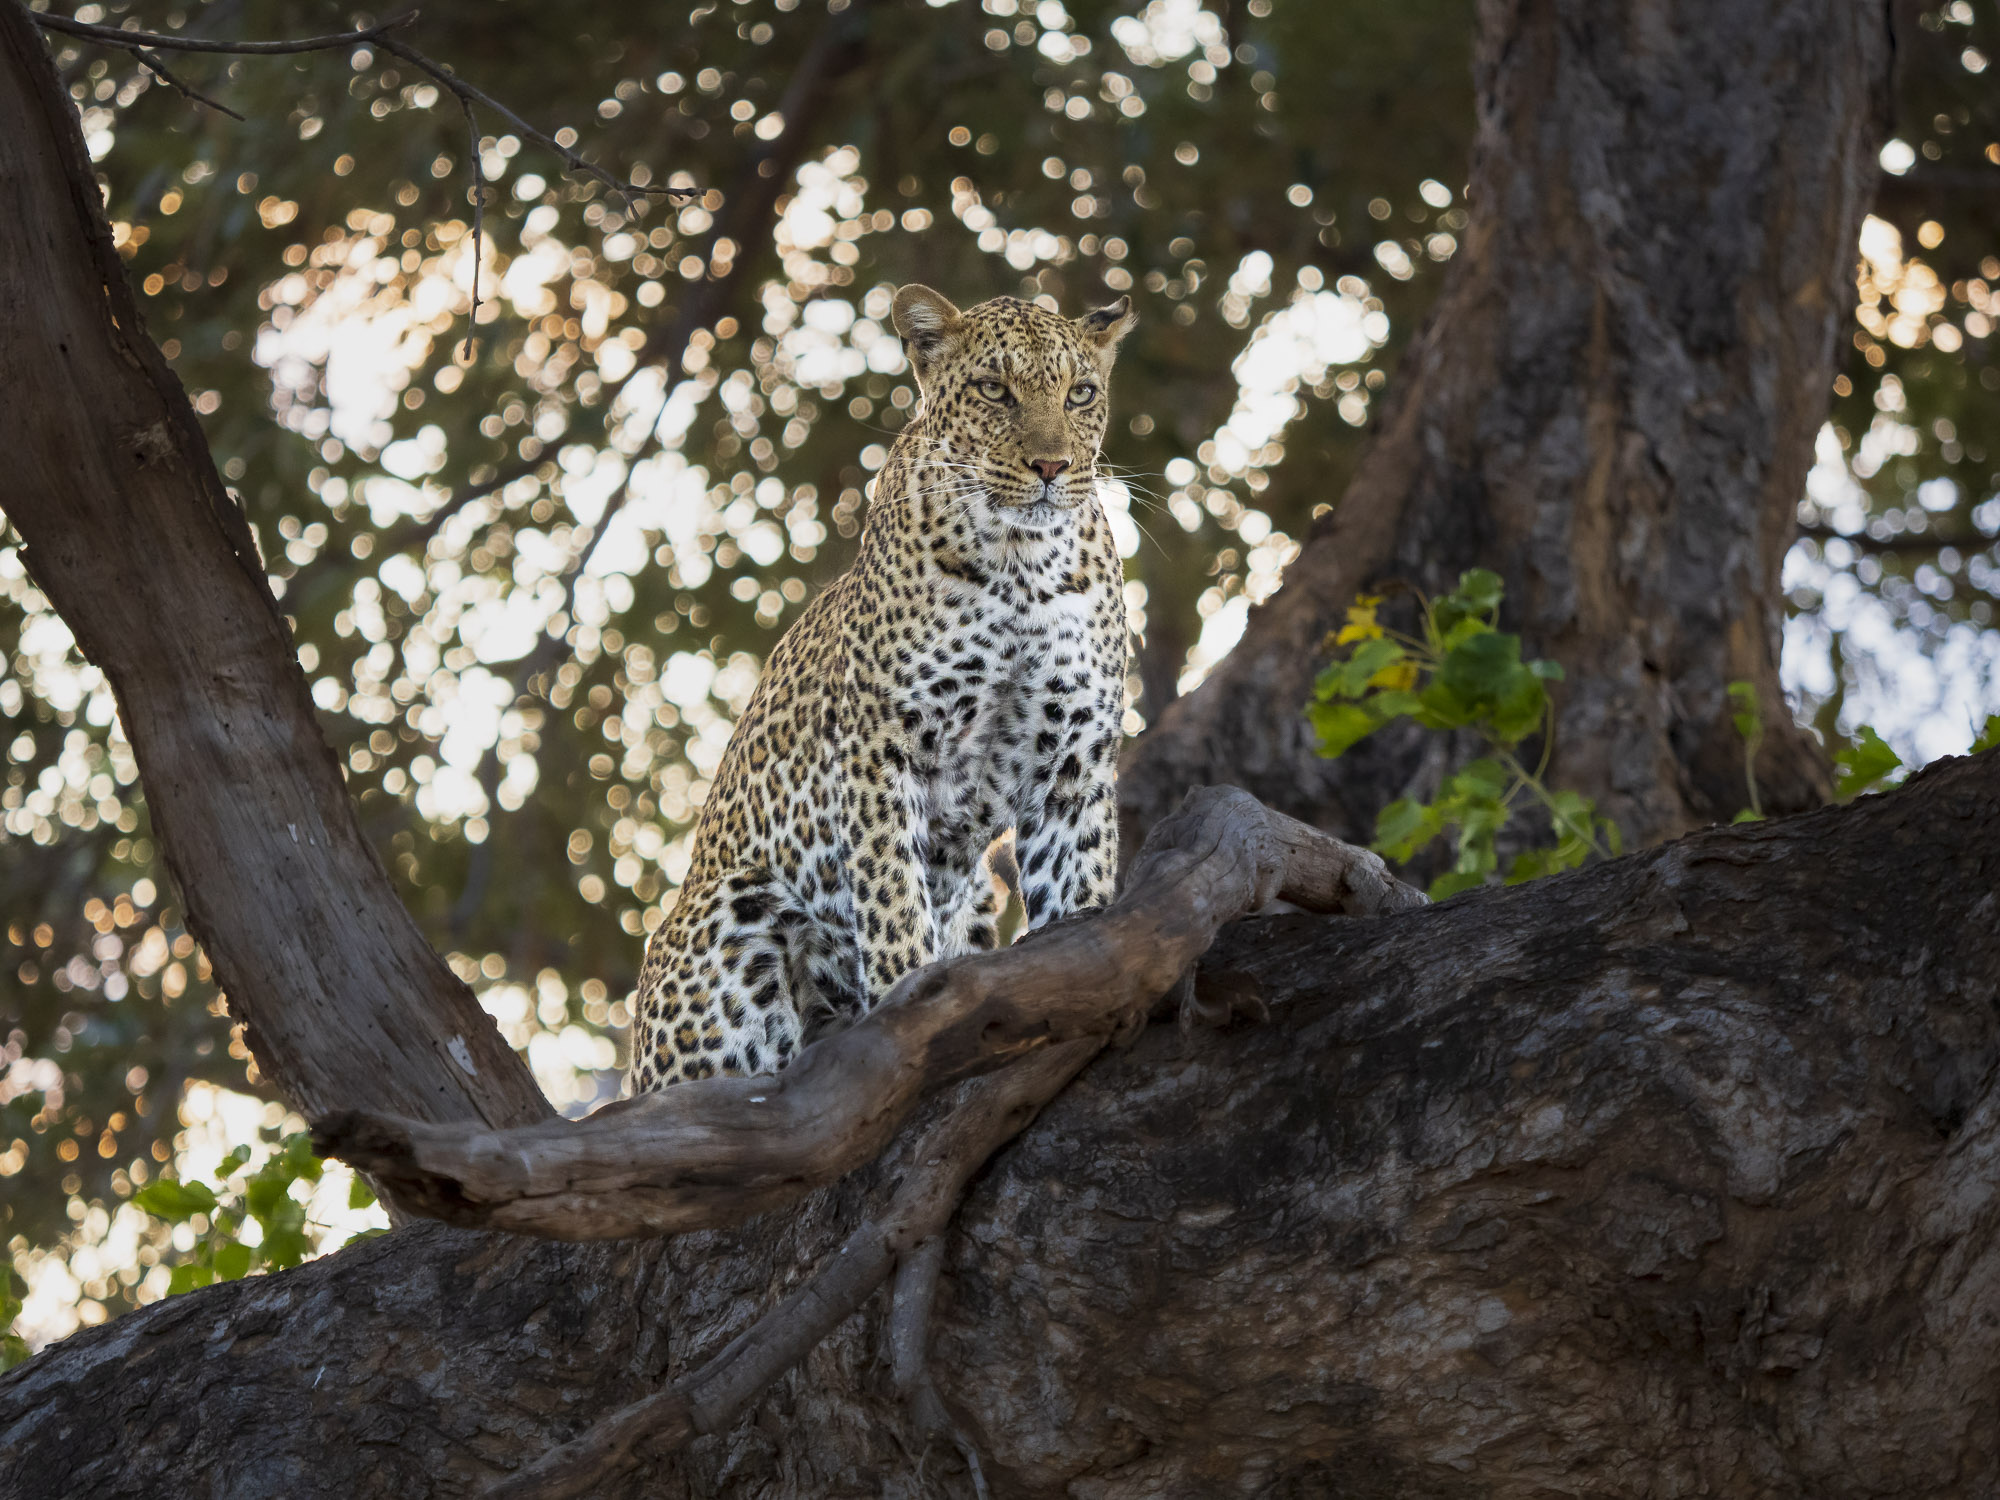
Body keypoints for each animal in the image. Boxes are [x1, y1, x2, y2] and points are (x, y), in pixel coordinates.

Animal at [624, 284, 1136, 1096]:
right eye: (994, 390)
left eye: (1080, 394)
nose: (1052, 465)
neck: (1022, 565)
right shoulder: (880, 747)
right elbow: (892, 898)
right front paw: (911, 1003)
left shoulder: (1074, 755)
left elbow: (1076, 889)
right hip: (729, 915)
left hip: (980, 898)